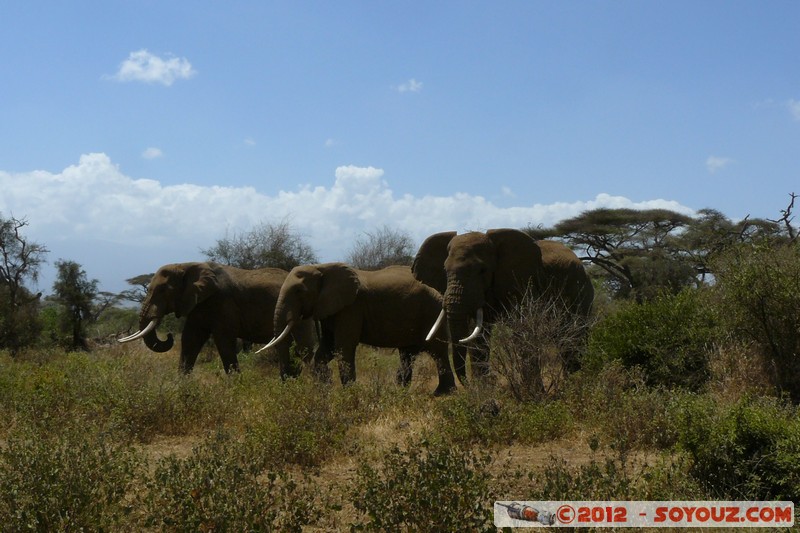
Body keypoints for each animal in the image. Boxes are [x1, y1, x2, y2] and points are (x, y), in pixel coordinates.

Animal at [118, 262, 316, 374]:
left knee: (302, 345)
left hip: (300, 313)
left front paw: (237, 386)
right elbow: (190, 339)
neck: (186, 265)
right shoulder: (198, 303)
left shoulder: (222, 302)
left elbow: (223, 340)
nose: (168, 335)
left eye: (162, 291)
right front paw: (181, 387)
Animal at [261, 263, 457, 395]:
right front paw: (325, 391)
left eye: (299, 291)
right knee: (408, 354)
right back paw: (401, 391)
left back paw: (442, 394)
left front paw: (349, 394)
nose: (290, 382)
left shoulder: (351, 307)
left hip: (432, 312)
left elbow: (343, 347)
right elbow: (326, 350)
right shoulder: (332, 309)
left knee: (437, 351)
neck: (321, 267)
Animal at [412, 228, 594, 384]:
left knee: (573, 337)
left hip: (580, 291)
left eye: (482, 271)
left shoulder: (521, 283)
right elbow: (478, 337)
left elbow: (522, 333)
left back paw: (576, 382)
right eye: (445, 270)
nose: (468, 384)